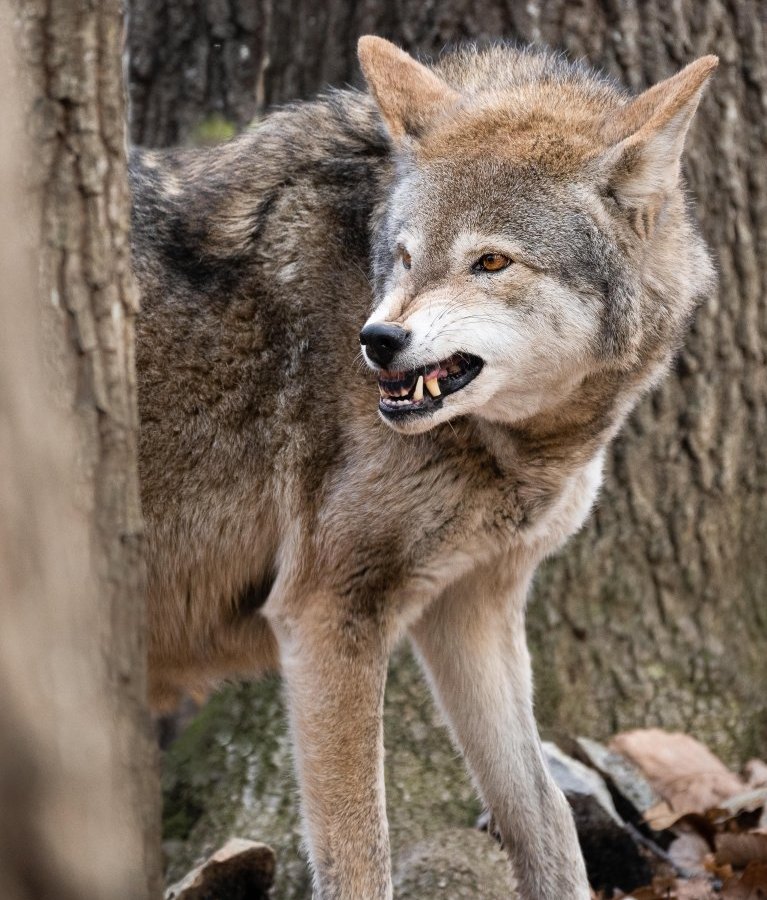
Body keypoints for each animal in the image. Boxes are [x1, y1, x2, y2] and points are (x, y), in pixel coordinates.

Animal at [130, 37, 712, 900]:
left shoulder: (472, 607)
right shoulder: (327, 614)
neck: (518, 444)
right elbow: (358, 852)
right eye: (403, 257)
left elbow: (543, 816)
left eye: (490, 261)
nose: (376, 341)